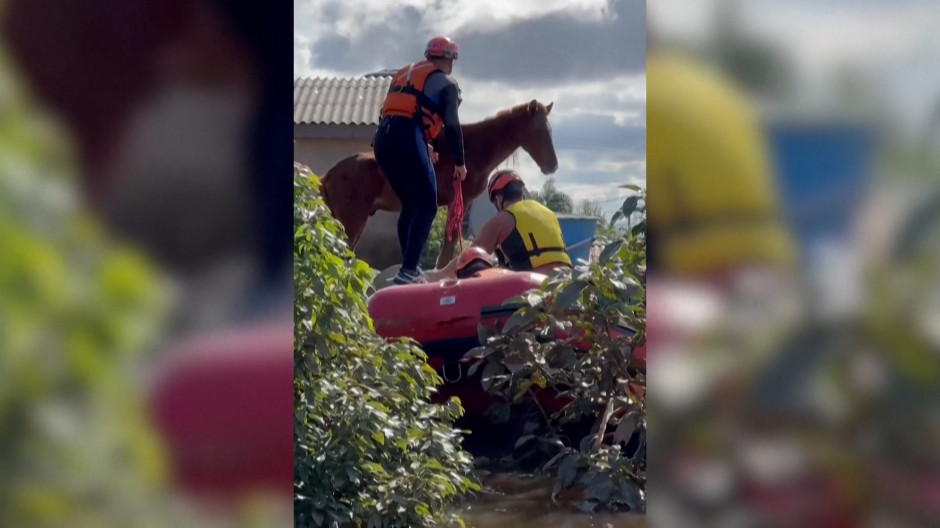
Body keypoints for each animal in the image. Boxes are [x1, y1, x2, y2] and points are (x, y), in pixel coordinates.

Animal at [324, 98, 560, 266]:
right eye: (539, 130)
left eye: (551, 130)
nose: (553, 166)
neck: (470, 149)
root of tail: (329, 175)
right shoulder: (458, 202)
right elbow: (449, 245)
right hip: (353, 222)